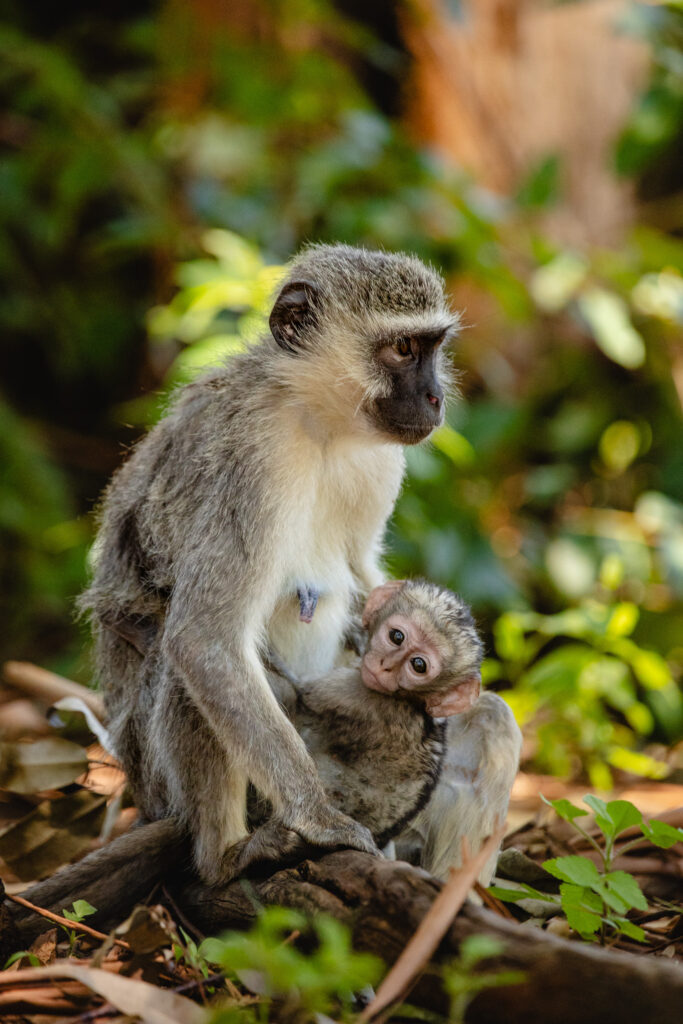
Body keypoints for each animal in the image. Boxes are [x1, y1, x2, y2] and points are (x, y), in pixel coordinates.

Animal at [82, 241, 462, 880]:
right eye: (403, 348)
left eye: (433, 346)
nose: (435, 398)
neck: (317, 420)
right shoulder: (254, 458)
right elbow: (203, 641)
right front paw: (320, 818)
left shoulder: (383, 460)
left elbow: (366, 576)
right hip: (156, 778)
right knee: (187, 664)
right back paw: (226, 855)